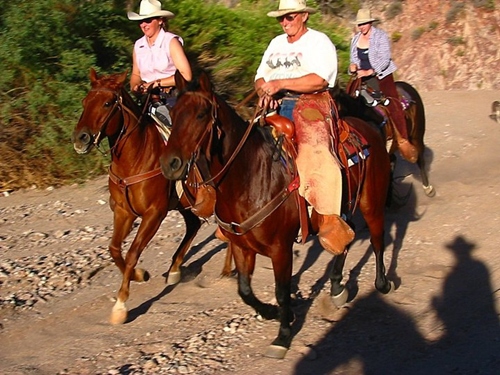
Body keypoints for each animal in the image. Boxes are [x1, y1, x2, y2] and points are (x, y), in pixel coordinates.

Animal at [70, 68, 227, 326]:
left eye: (107, 103)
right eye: (85, 101)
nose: (80, 138)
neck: (135, 158)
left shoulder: (154, 213)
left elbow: (132, 252)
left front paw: (121, 305)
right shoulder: (123, 212)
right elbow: (114, 249)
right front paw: (139, 274)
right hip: (184, 204)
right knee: (193, 225)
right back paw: (175, 269)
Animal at [160, 71, 394, 362]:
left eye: (201, 114)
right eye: (173, 112)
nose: (169, 164)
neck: (249, 177)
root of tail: (365, 125)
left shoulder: (280, 249)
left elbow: (281, 292)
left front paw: (283, 336)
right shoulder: (241, 246)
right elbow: (244, 290)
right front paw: (272, 313)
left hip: (371, 203)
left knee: (377, 238)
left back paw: (382, 283)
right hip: (342, 207)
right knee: (344, 236)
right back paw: (337, 288)